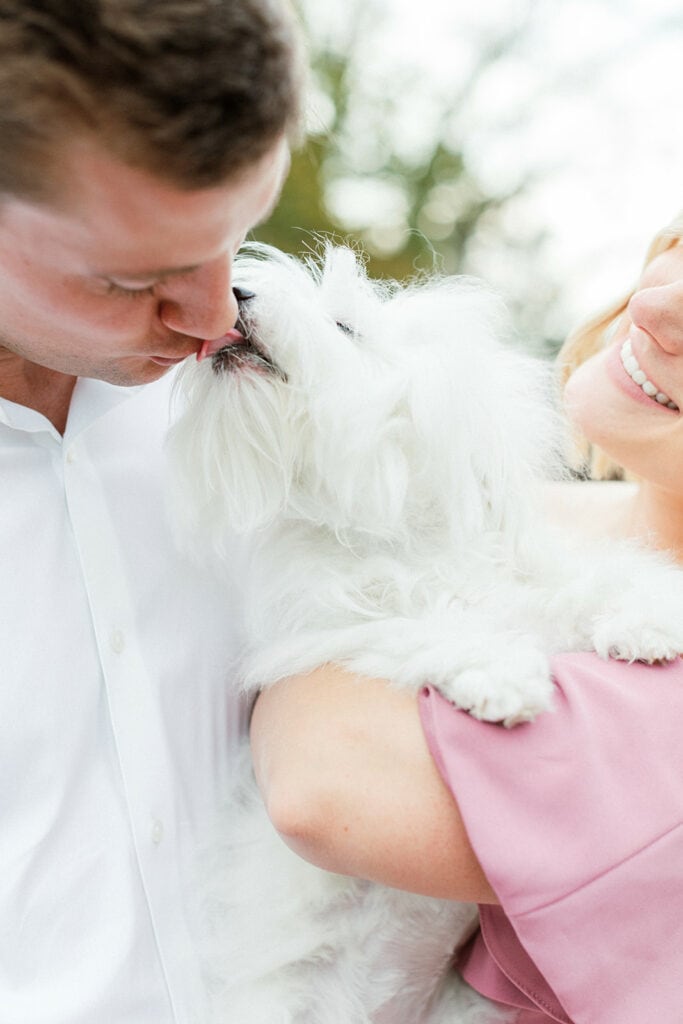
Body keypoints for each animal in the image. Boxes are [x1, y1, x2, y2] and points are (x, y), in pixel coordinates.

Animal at [167, 243, 683, 1019]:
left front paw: (650, 619)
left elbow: (587, 581)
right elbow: (422, 628)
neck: (399, 530)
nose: (238, 293)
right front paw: (502, 678)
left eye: (344, 327)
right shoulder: (327, 635)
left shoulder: (530, 578)